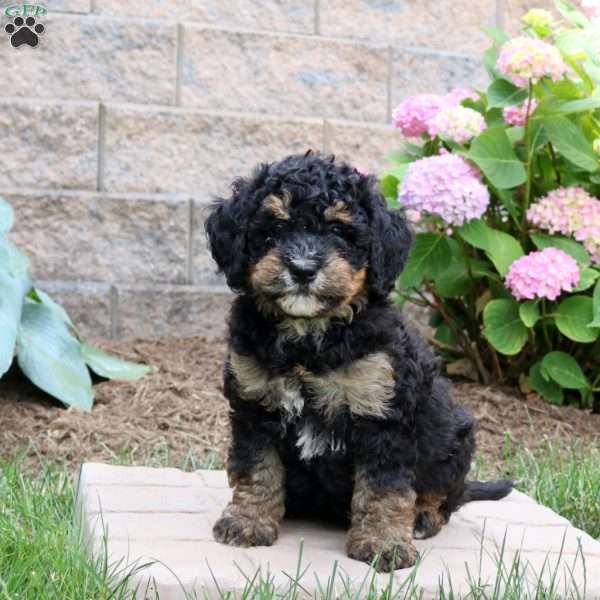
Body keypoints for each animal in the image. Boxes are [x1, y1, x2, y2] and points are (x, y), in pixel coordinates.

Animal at [206, 151, 510, 572]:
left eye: (339, 230)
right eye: (273, 229)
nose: (302, 269)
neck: (308, 340)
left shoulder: (382, 413)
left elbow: (384, 486)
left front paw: (384, 543)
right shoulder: (255, 405)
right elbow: (256, 467)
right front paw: (248, 522)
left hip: (455, 436)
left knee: (443, 495)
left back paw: (422, 517)